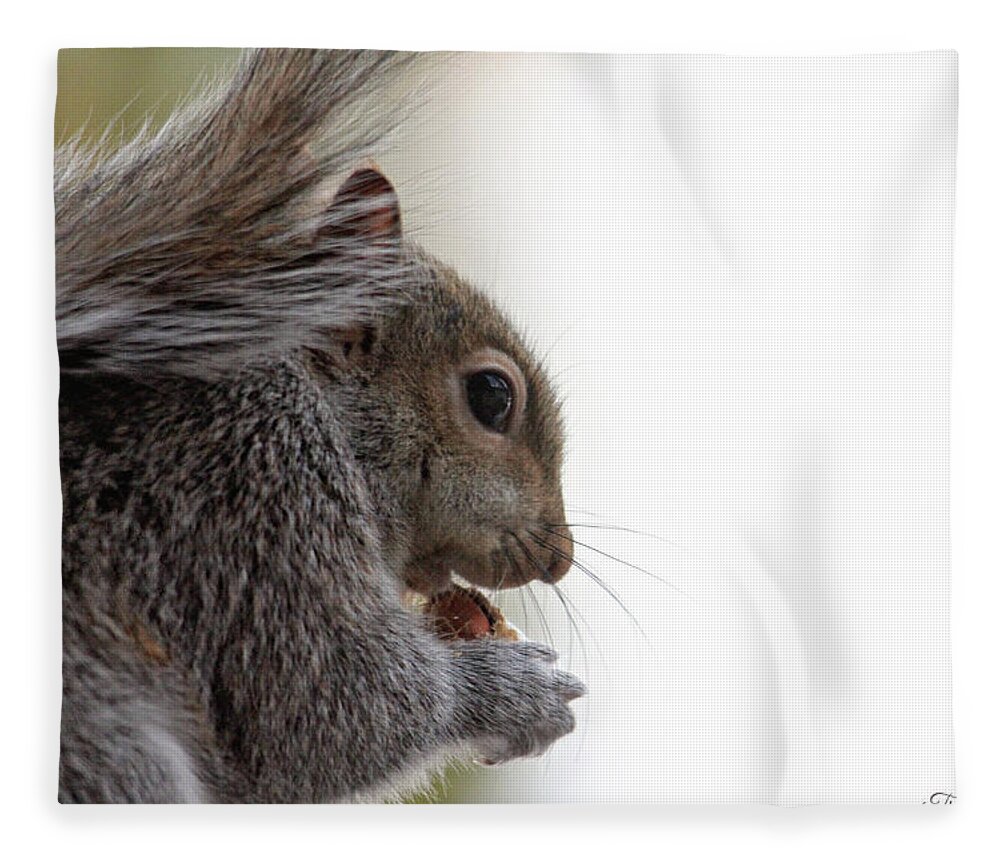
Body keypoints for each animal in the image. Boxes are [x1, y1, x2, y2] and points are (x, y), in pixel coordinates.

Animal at [56, 45, 584, 800]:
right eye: (491, 397)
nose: (557, 559)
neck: (320, 405)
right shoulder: (256, 503)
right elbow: (326, 715)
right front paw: (515, 693)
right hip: (114, 753)